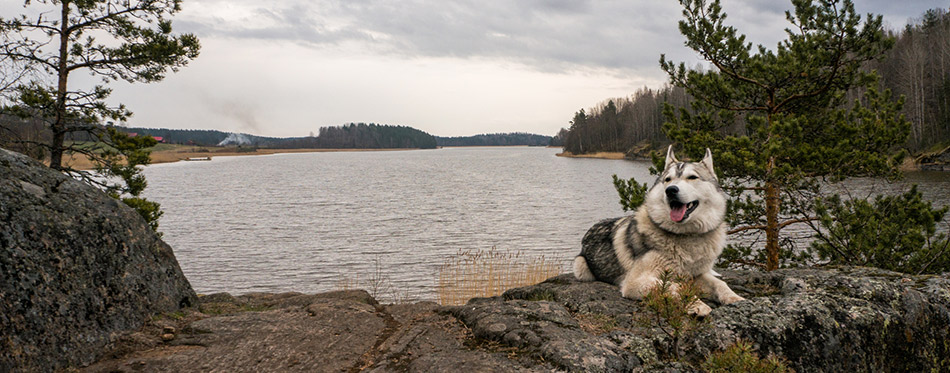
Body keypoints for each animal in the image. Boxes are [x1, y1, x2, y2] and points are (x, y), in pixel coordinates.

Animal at [576, 145, 748, 314]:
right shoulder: (635, 282)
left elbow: (720, 284)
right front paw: (697, 305)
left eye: (692, 177)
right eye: (668, 180)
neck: (685, 236)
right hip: (580, 267)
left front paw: (736, 299)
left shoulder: (696, 275)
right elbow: (673, 286)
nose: (671, 190)